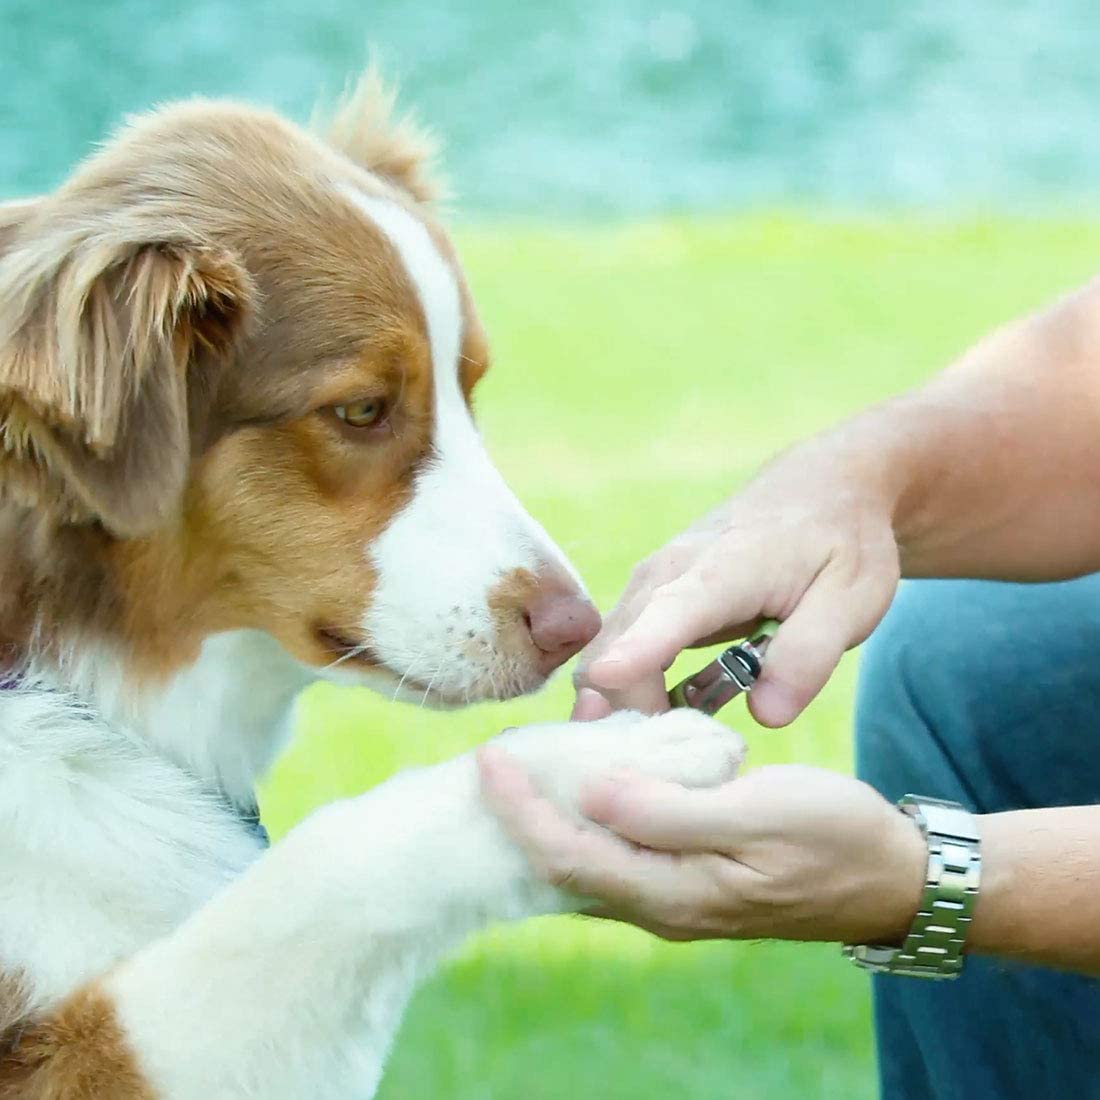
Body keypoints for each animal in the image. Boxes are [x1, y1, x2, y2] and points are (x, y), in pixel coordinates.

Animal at [0, 73, 743, 1095]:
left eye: (470, 388)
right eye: (360, 410)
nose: (575, 628)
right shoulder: (83, 1059)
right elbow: (326, 860)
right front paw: (596, 760)